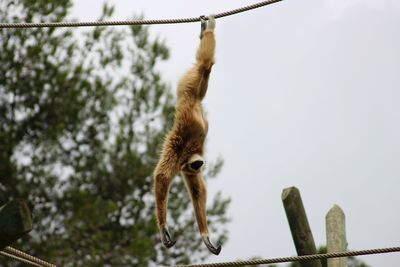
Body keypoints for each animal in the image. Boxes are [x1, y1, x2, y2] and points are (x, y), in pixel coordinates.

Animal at [153, 14, 222, 255]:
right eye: (196, 166)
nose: (200, 166)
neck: (188, 153)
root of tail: (185, 101)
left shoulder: (176, 148)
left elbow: (162, 177)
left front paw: (164, 229)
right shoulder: (183, 165)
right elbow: (197, 190)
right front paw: (205, 237)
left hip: (190, 87)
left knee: (204, 65)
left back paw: (208, 28)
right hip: (192, 88)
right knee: (205, 69)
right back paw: (205, 30)